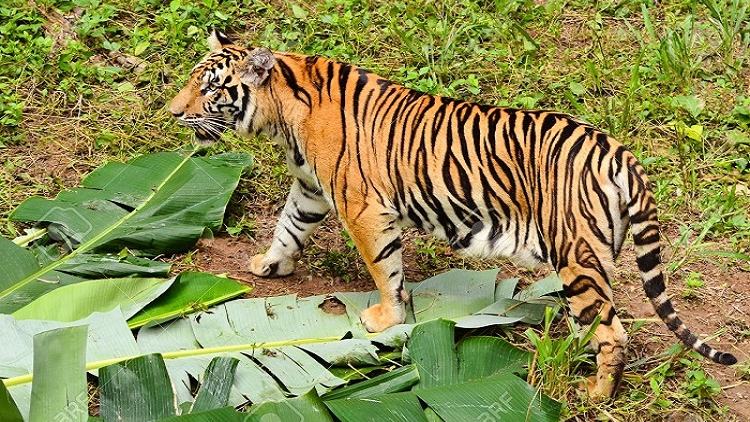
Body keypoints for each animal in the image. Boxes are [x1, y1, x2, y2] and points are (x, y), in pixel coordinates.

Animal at [168, 29, 737, 399]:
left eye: (211, 88)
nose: (173, 112)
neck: (283, 115)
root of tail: (619, 151)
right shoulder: (310, 188)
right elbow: (289, 227)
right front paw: (268, 265)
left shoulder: (363, 207)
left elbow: (384, 267)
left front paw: (386, 318)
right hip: (597, 255)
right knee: (603, 317)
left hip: (575, 251)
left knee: (612, 331)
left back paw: (596, 392)